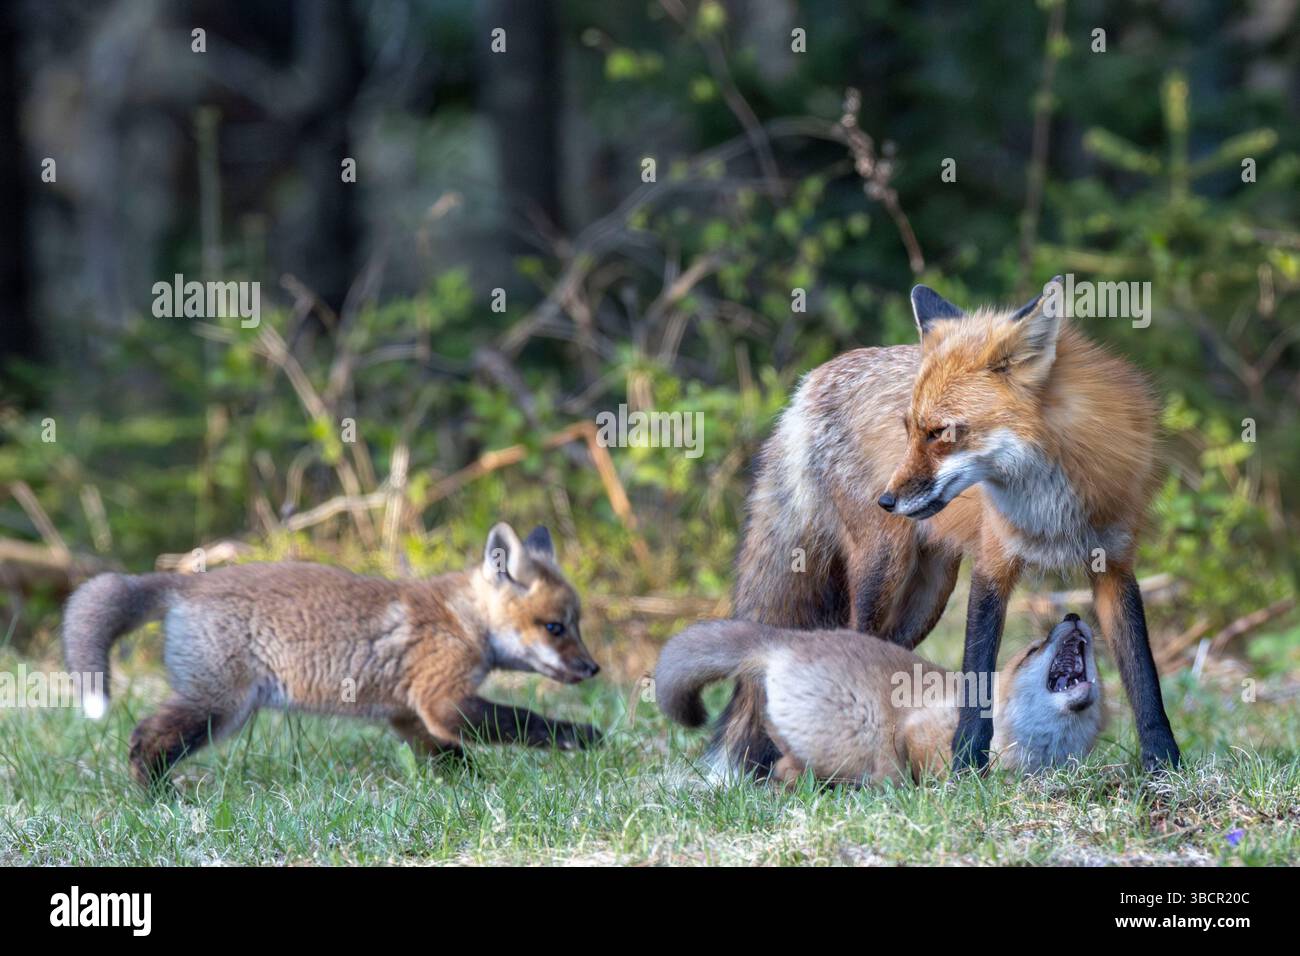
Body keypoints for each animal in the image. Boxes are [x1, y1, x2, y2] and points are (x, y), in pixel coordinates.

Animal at [62, 523, 602, 788]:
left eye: (577, 624)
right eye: (555, 628)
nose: (593, 668)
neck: (462, 620)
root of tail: (188, 583)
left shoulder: (409, 714)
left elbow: (455, 759)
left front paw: (475, 788)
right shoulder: (442, 700)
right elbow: (525, 721)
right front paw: (582, 737)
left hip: (219, 708)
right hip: (218, 708)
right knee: (142, 739)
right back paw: (158, 799)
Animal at [656, 612, 1104, 785]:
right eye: (1033, 649)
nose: (1072, 617)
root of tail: (787, 640)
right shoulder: (920, 730)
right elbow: (936, 765)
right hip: (856, 737)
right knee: (790, 767)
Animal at [715, 276, 1178, 777]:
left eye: (940, 433)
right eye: (908, 430)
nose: (886, 501)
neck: (1050, 505)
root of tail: (813, 380)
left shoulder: (1114, 565)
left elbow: (1144, 677)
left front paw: (1164, 762)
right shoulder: (993, 563)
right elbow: (977, 672)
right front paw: (967, 766)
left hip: (927, 596)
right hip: (885, 570)